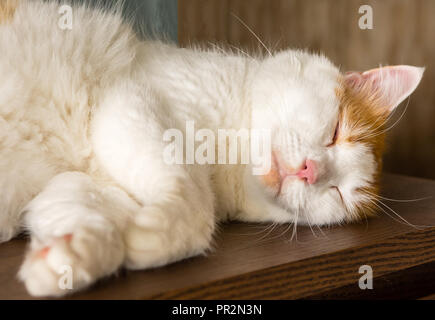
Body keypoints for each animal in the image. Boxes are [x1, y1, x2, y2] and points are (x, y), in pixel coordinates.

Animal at [0, 0, 424, 296]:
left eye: (339, 195)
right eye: (335, 131)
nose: (310, 170)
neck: (230, 155)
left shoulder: (88, 183)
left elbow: (81, 211)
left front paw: (69, 260)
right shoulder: (130, 100)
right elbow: (192, 189)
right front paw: (159, 233)